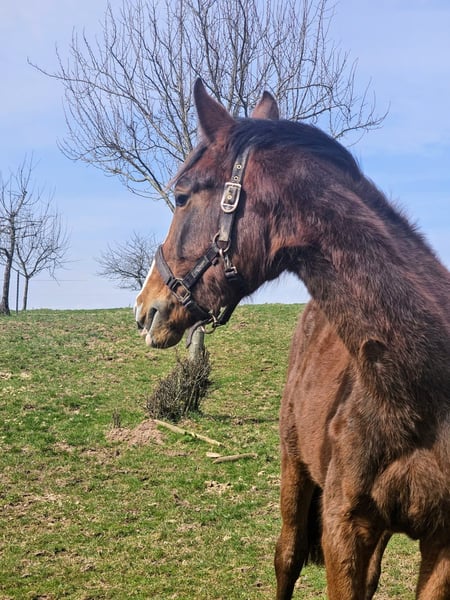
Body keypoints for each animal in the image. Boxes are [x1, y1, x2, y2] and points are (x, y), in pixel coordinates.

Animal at [134, 79, 450, 599]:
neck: (422, 386)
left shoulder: (440, 542)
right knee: (287, 557)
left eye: (180, 197)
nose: (146, 310)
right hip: (294, 469)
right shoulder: (345, 529)